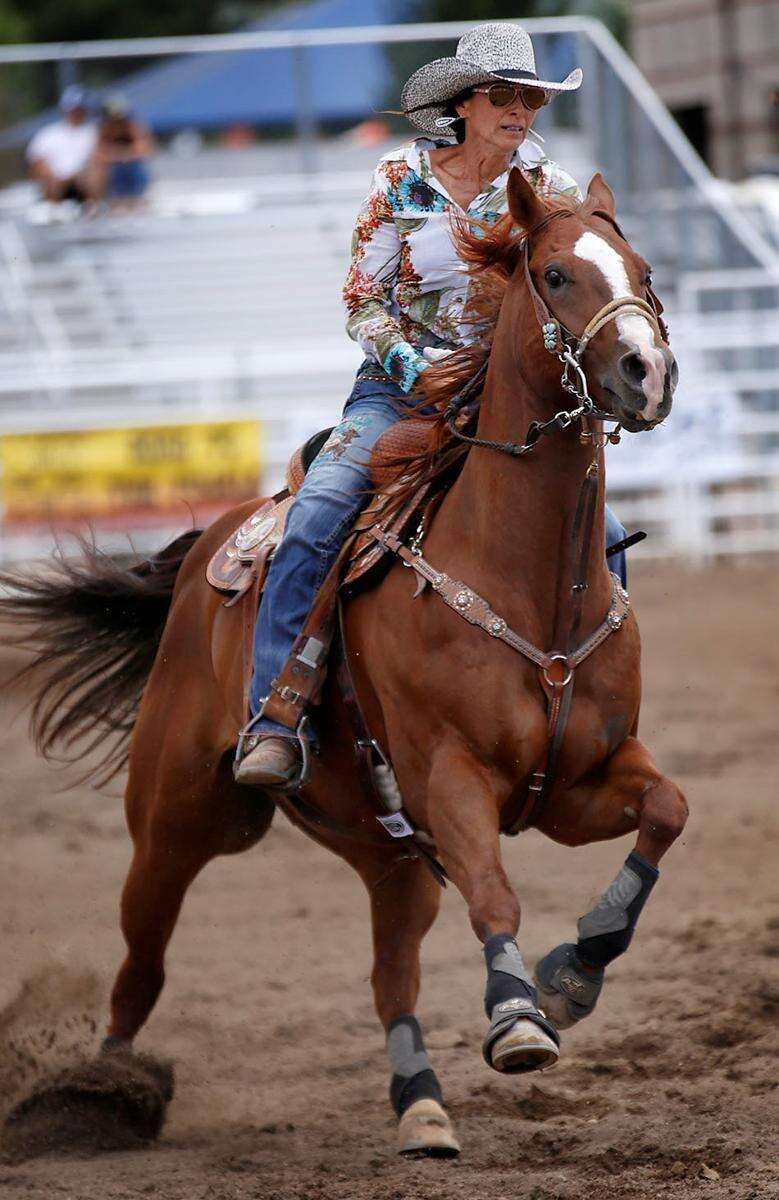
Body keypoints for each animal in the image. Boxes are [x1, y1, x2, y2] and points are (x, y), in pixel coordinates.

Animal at [4, 169, 686, 1152]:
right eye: (555, 273)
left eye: (642, 268)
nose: (647, 370)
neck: (525, 579)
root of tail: (207, 547)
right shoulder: (451, 776)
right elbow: (494, 892)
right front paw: (519, 1018)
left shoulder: (574, 786)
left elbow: (666, 811)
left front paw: (572, 974)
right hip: (178, 816)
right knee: (143, 956)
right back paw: (97, 1092)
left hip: (383, 850)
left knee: (389, 971)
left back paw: (422, 1106)